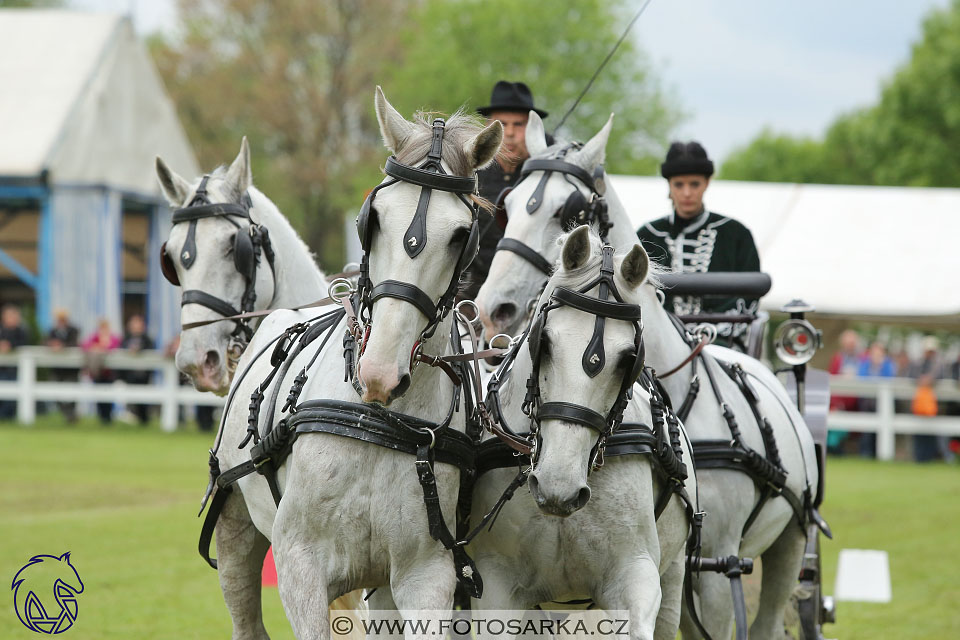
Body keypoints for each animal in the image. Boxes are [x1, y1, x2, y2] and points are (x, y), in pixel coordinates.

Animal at [214, 86, 502, 640]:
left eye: (462, 235)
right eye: (374, 217)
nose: (380, 374)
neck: (374, 421)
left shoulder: (425, 575)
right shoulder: (298, 565)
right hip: (235, 526)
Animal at [468, 226, 692, 640]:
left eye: (628, 359)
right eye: (545, 342)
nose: (558, 488)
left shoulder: (635, 576)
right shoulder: (497, 587)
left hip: (675, 574)